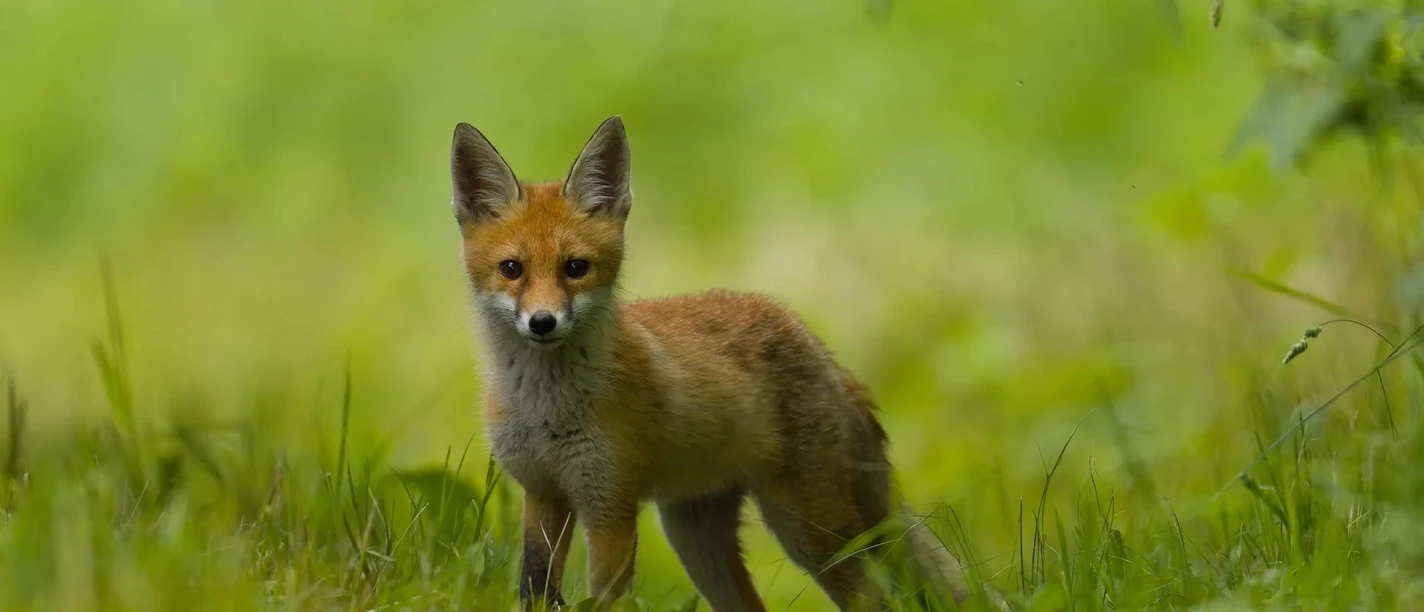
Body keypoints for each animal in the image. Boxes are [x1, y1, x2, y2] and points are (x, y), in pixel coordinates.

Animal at [450, 116, 981, 611]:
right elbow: (535, 588)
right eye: (512, 269)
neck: (547, 409)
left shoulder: (610, 506)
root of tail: (818, 345)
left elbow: (602, 600)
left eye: (575, 268)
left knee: (877, 597)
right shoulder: (543, 493)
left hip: (813, 531)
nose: (543, 322)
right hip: (697, 539)